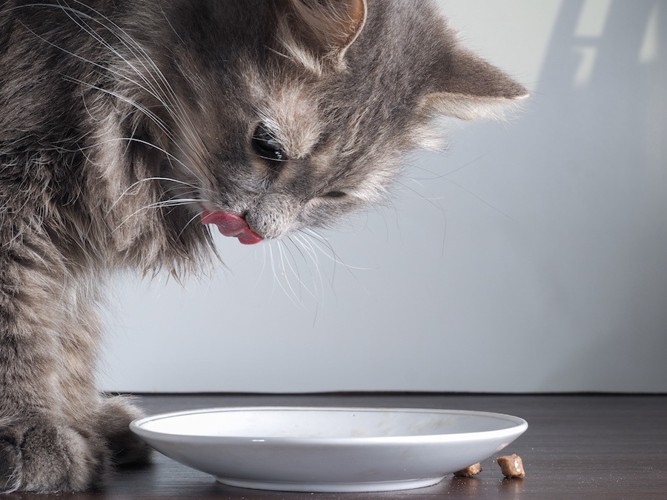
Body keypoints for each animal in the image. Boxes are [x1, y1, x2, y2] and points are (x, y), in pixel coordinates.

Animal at [0, 0, 528, 492]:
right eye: (267, 147)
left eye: (335, 194)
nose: (260, 228)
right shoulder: (18, 210)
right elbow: (22, 331)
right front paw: (32, 431)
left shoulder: (72, 252)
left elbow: (70, 344)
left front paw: (82, 421)